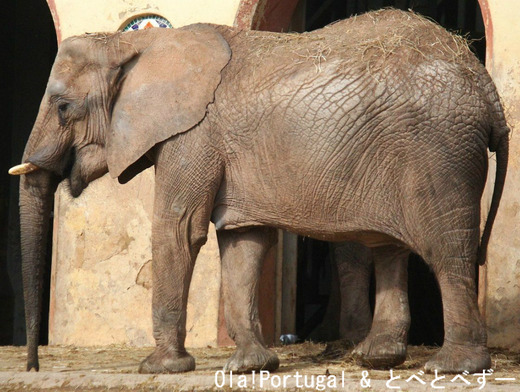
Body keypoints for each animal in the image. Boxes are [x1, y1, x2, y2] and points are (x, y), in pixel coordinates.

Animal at [11, 9, 508, 374]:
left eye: (62, 107)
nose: (33, 366)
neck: (133, 46)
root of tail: (484, 83)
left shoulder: (193, 135)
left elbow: (178, 229)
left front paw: (159, 368)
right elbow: (243, 243)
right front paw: (250, 366)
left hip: (438, 150)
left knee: (447, 250)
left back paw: (451, 367)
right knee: (389, 247)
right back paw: (378, 358)